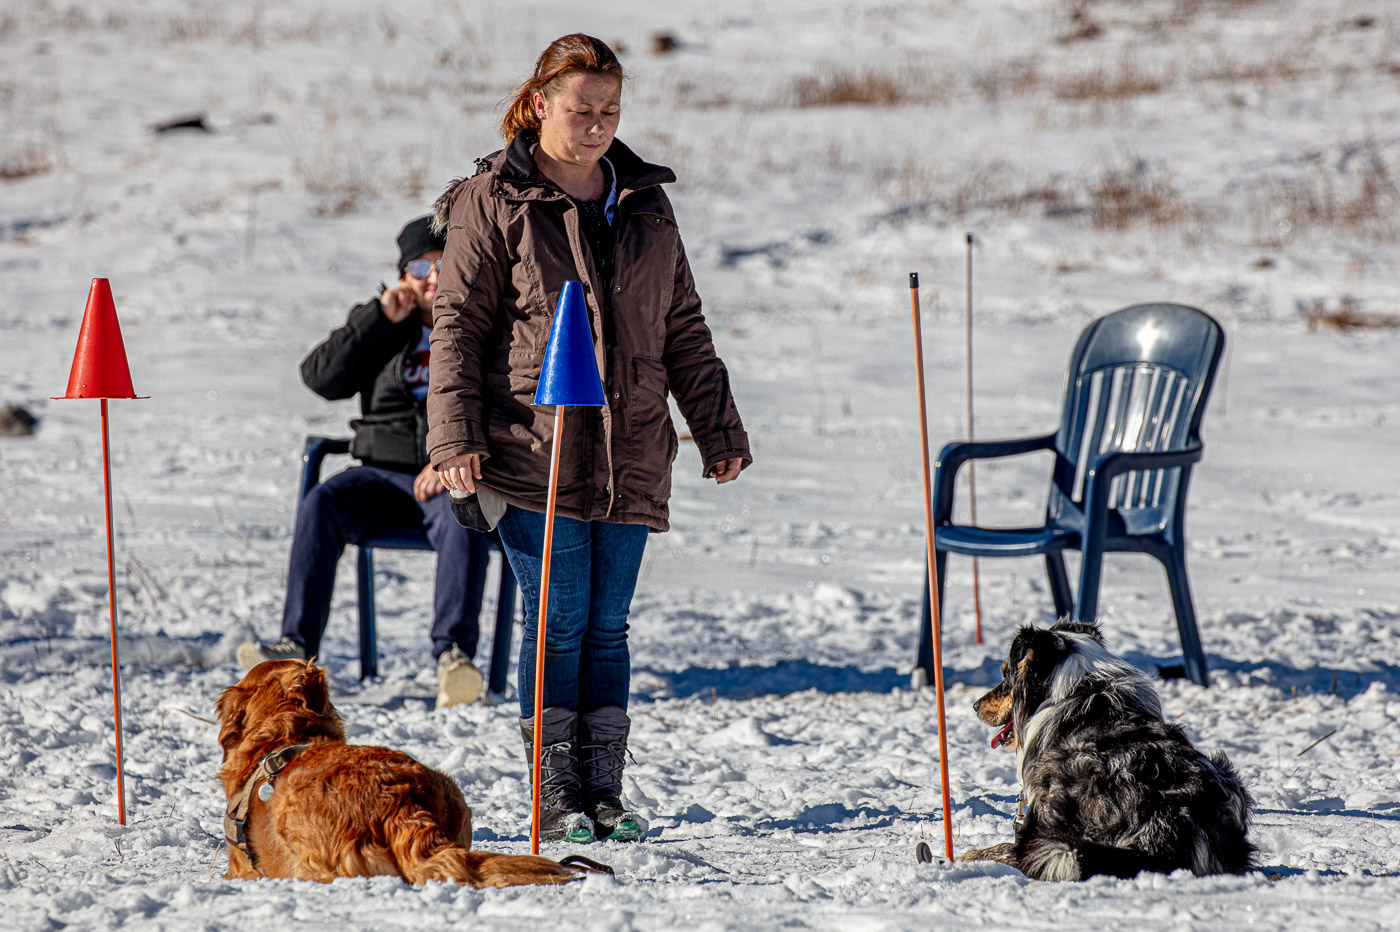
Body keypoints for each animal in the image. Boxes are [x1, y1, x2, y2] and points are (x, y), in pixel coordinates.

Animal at [963, 615, 1260, 878]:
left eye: (1006, 675)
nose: (975, 705)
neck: (1078, 689)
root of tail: (1175, 824)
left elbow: (1008, 847)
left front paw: (971, 855)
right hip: (1225, 770)